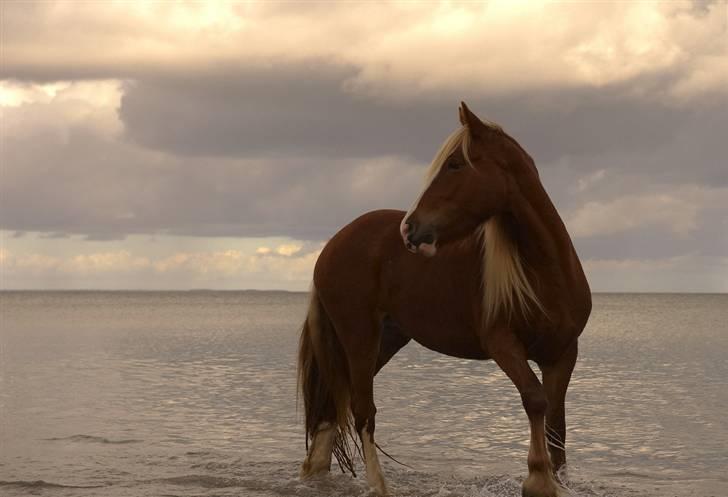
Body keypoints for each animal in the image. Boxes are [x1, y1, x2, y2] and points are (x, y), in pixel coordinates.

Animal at [296, 101, 592, 496]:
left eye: (454, 165)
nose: (409, 228)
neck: (546, 273)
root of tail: (333, 244)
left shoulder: (562, 353)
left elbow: (556, 424)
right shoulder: (503, 344)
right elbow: (535, 399)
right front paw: (538, 479)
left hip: (386, 339)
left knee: (334, 403)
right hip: (359, 336)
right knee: (362, 410)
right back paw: (379, 485)